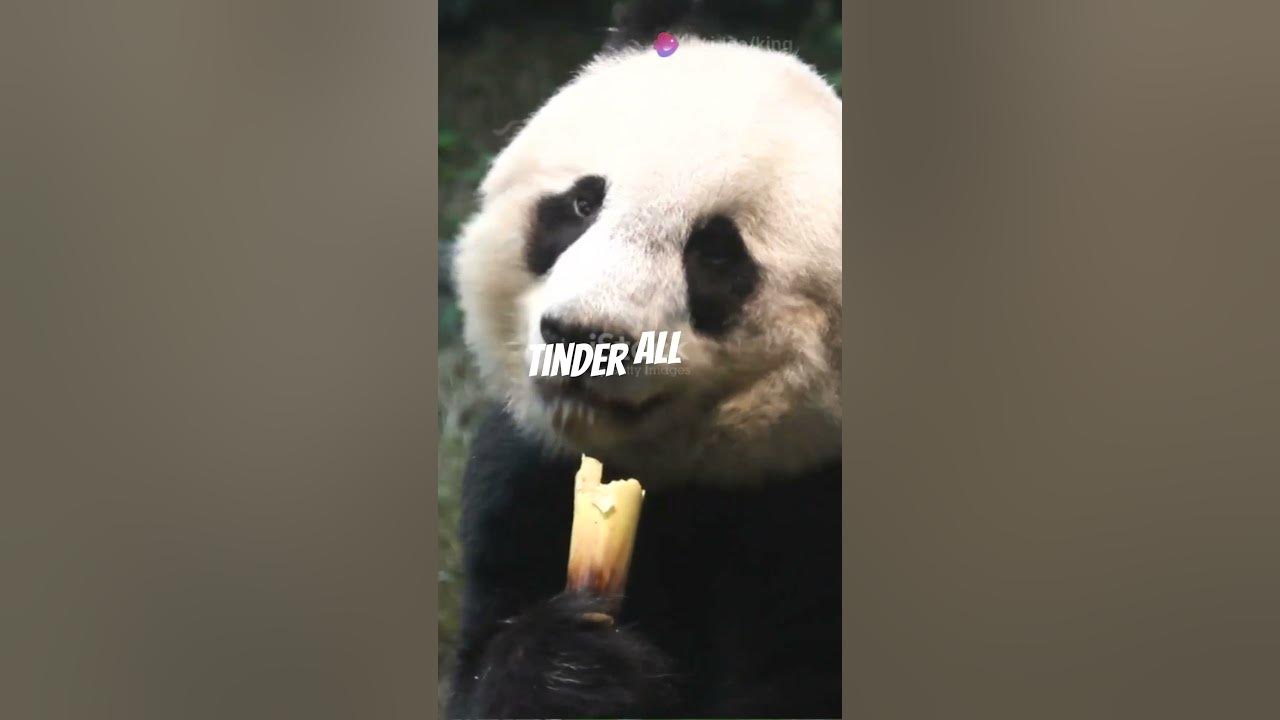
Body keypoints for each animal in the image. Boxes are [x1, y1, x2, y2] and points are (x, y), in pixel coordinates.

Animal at [447, 1, 842, 717]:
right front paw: (571, 669)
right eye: (581, 202)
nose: (583, 335)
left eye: (716, 254)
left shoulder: (810, 520)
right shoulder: (522, 476)